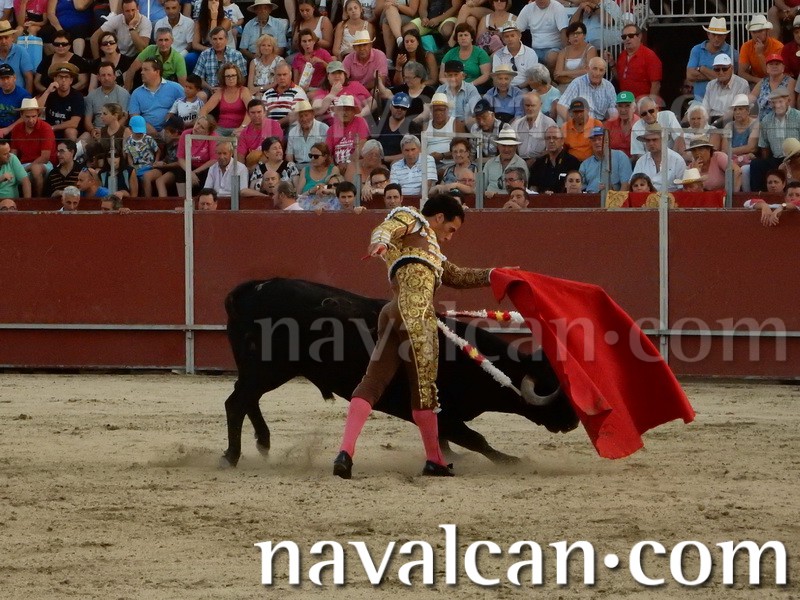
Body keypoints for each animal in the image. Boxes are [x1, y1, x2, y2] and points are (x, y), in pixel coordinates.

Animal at [221, 278, 578, 467]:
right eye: (554, 389)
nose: (574, 421)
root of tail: (250, 289)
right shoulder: (441, 411)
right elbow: (476, 439)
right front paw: (512, 461)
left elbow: (447, 437)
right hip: (268, 369)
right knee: (236, 402)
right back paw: (232, 456)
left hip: (259, 371)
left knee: (245, 399)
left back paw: (263, 444)